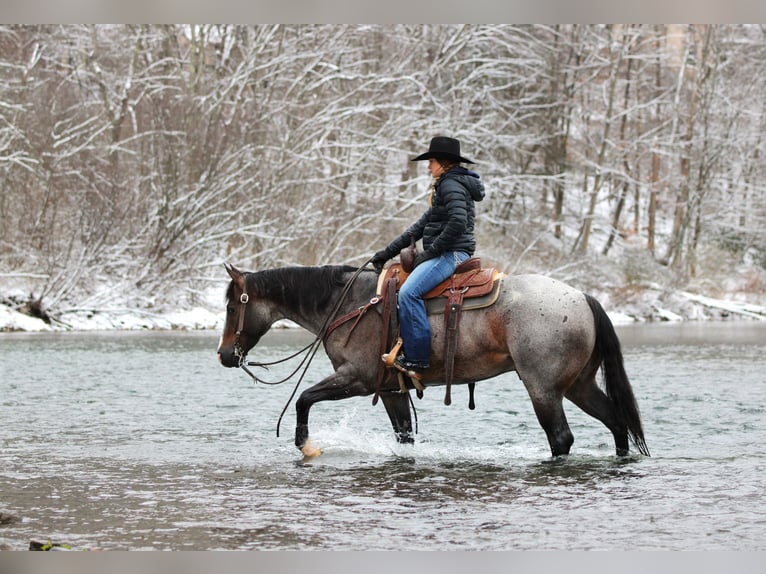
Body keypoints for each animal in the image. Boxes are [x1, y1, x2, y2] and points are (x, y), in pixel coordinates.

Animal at [217, 263, 650, 459]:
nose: (224, 355)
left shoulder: (356, 378)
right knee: (616, 422)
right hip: (578, 385)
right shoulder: (391, 390)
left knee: (561, 438)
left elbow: (304, 399)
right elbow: (404, 435)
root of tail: (582, 298)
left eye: (232, 308)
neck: (349, 304)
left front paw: (306, 446)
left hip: (543, 389)